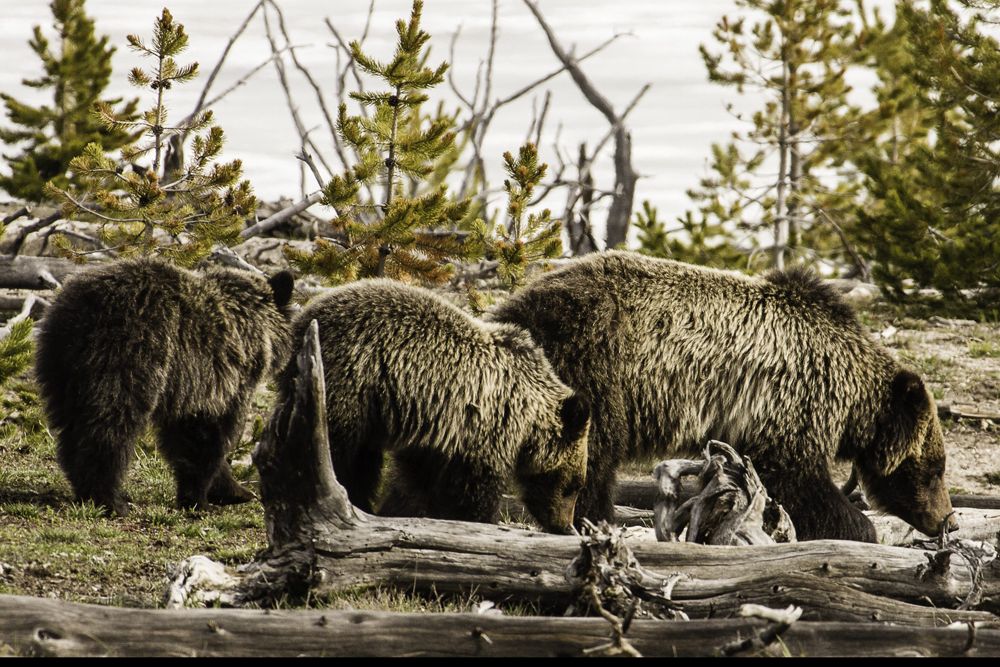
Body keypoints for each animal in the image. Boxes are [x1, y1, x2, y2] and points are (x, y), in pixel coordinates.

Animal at [35, 258, 292, 516]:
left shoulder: (187, 385)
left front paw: (234, 491)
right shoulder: (216, 378)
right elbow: (203, 439)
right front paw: (201, 500)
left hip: (61, 368)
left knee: (71, 424)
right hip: (128, 353)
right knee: (109, 424)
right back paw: (110, 499)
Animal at [280, 280, 592, 536]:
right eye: (572, 485)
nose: (566, 526)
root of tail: (302, 321)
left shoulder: (437, 435)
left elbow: (418, 482)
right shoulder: (482, 428)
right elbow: (470, 491)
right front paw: (476, 520)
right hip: (349, 381)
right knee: (338, 449)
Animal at [488, 252, 956, 544]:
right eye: (935, 469)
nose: (946, 519)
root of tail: (513, 308)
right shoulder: (788, 405)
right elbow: (800, 482)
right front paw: (859, 529)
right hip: (595, 364)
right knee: (591, 454)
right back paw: (591, 517)